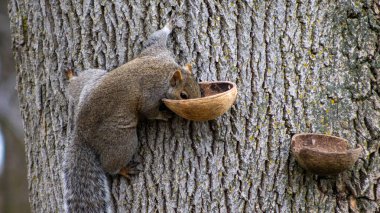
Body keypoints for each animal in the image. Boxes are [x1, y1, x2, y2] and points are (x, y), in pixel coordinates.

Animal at [61, 19, 202, 212]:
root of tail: (81, 130)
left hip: (92, 79)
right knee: (110, 165)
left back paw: (71, 78)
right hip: (122, 140)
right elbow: (149, 111)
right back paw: (123, 169)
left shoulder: (155, 52)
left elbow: (153, 39)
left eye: (199, 88)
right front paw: (163, 115)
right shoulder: (150, 95)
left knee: (75, 88)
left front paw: (168, 26)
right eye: (183, 95)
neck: (166, 70)